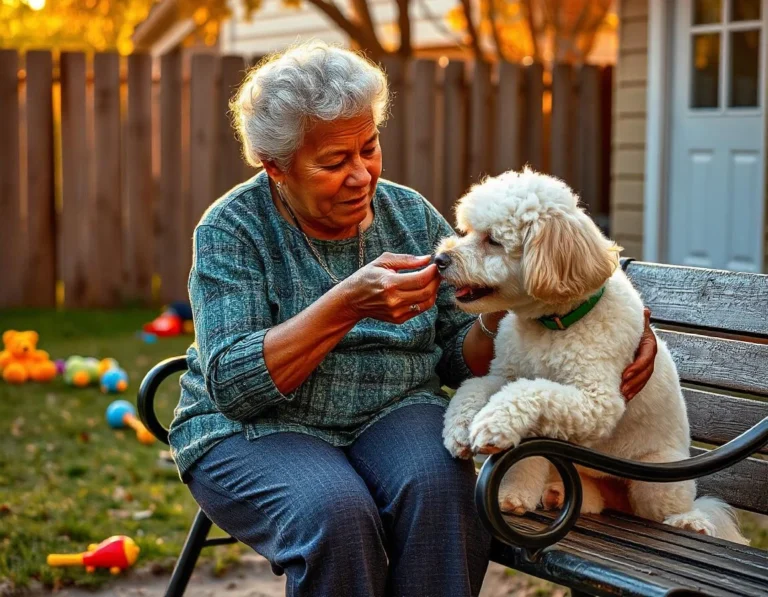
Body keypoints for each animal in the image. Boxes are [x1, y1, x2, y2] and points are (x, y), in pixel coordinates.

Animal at [436, 165, 748, 544]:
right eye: (467, 231)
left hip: (655, 483)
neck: (552, 325)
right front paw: (461, 431)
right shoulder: (503, 375)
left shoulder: (593, 402)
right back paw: (559, 494)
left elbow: (527, 395)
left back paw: (691, 523)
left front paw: (494, 432)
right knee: (594, 498)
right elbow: (473, 390)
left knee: (676, 511)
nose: (439, 259)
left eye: (493, 240)